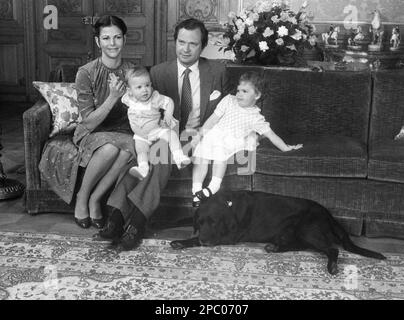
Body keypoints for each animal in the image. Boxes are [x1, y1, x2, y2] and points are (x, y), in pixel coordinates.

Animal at [170, 190, 386, 276]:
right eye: (200, 223)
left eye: (214, 223)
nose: (204, 239)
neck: (228, 205)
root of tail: (329, 214)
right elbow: (184, 220)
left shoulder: (228, 236)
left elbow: (193, 239)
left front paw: (183, 242)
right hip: (293, 233)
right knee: (299, 246)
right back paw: (274, 248)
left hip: (308, 230)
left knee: (333, 249)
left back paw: (332, 266)